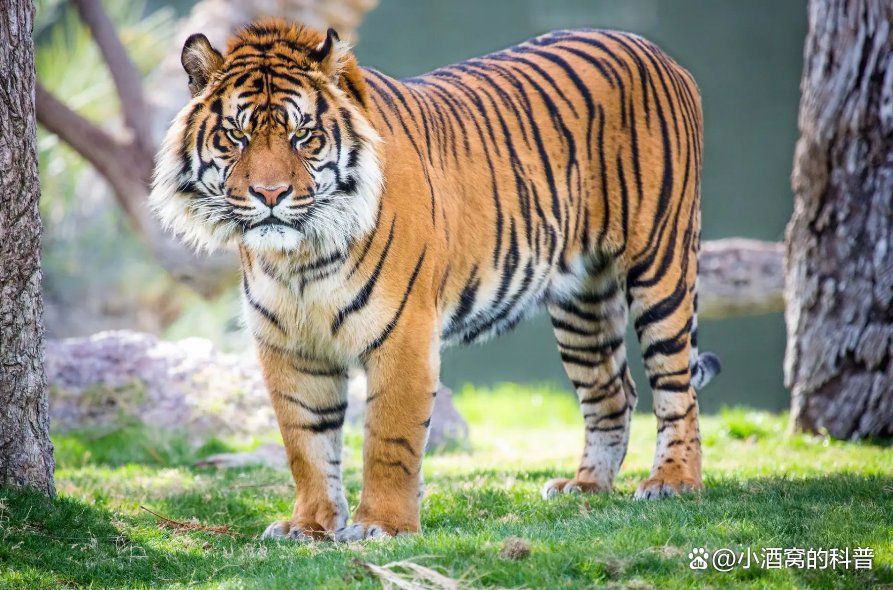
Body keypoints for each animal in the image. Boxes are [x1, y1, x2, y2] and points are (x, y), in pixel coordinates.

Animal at [151, 19, 720, 541]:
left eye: (303, 135)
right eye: (236, 135)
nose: (270, 195)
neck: (300, 259)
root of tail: (651, 49)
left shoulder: (403, 334)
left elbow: (389, 438)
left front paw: (382, 526)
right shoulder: (289, 346)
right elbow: (306, 442)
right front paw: (309, 525)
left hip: (660, 265)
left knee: (675, 387)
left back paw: (673, 482)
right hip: (583, 300)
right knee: (613, 390)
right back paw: (586, 486)